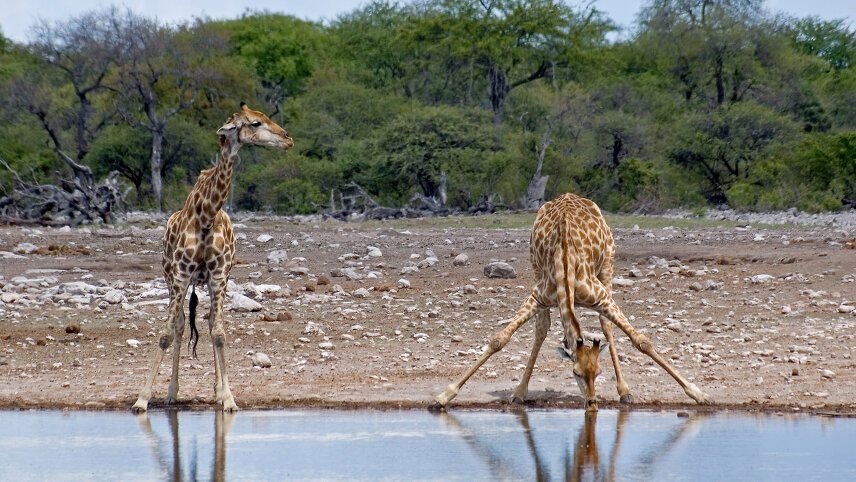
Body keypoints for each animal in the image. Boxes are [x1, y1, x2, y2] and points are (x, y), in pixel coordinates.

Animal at [133, 103, 294, 412]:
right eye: (255, 123)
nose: (288, 139)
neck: (206, 216)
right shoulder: (181, 274)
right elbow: (166, 333)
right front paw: (142, 399)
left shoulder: (219, 275)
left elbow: (218, 332)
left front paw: (228, 398)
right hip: (171, 278)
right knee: (181, 325)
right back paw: (172, 393)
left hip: (213, 280)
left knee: (208, 323)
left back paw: (217, 391)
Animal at [434, 192, 708, 410]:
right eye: (575, 373)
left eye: (598, 372)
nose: (592, 404)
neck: (566, 267)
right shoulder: (538, 296)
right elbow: (499, 340)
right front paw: (443, 396)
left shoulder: (602, 297)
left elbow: (641, 341)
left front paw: (699, 394)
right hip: (535, 268)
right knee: (542, 328)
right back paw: (520, 391)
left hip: (608, 266)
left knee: (606, 326)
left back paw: (624, 391)